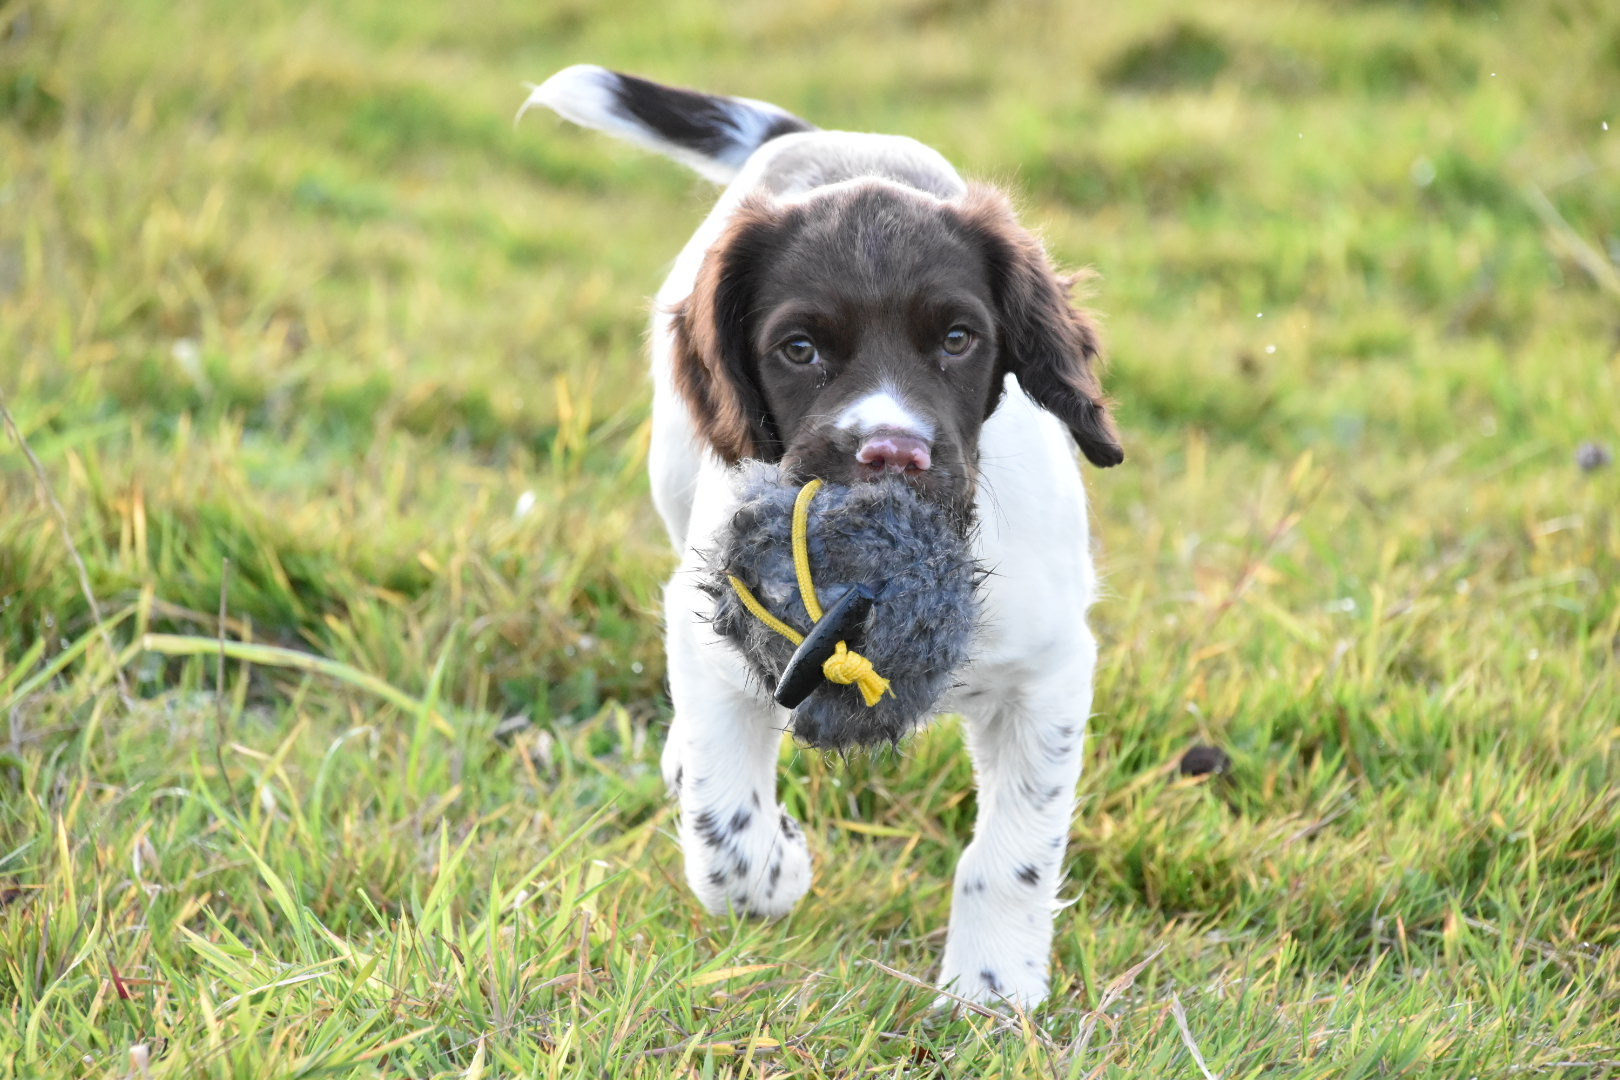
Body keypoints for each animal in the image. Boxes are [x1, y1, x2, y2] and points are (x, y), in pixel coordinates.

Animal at [524, 69, 1121, 1016]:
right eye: (799, 349)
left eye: (959, 339)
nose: (892, 453)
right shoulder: (712, 627)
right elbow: (725, 839)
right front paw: (780, 868)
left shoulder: (1049, 668)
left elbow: (1014, 848)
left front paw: (989, 991)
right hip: (675, 477)